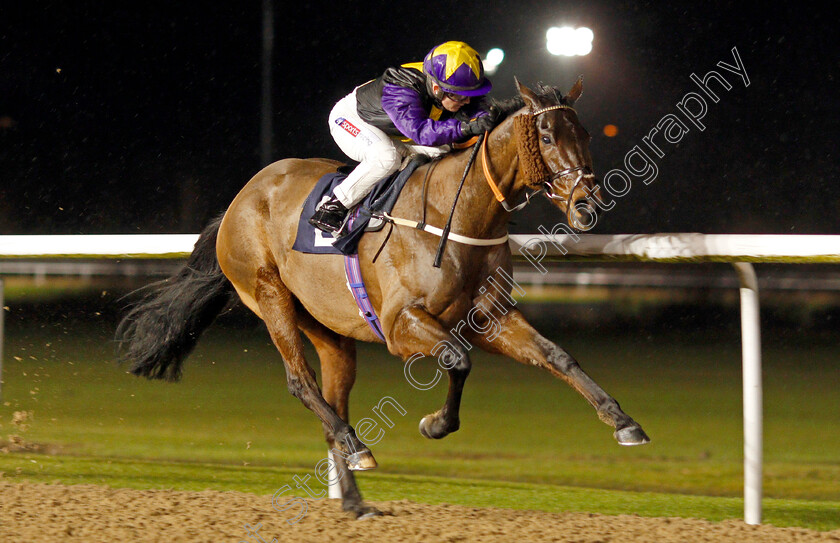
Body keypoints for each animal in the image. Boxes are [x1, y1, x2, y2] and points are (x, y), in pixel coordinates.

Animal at [116, 79, 648, 520]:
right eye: (548, 137)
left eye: (586, 134)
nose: (587, 205)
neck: (459, 213)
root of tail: (238, 201)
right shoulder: (400, 324)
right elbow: (457, 360)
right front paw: (435, 424)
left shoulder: (489, 318)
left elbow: (556, 356)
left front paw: (623, 422)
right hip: (269, 295)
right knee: (301, 381)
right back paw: (356, 448)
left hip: (328, 328)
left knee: (332, 399)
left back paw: (354, 497)